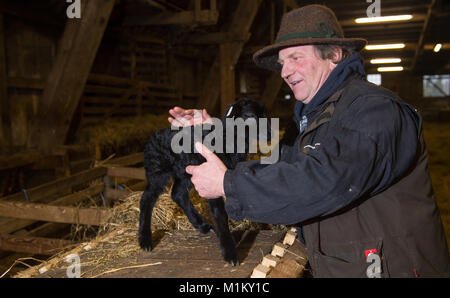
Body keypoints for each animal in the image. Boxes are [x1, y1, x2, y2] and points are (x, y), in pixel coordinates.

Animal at [139, 98, 268, 266]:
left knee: (178, 194)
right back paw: (145, 240)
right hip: (158, 171)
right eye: (250, 115)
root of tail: (153, 136)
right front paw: (230, 253)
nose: (269, 135)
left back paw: (202, 225)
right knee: (147, 198)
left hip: (185, 172)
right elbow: (220, 214)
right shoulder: (210, 176)